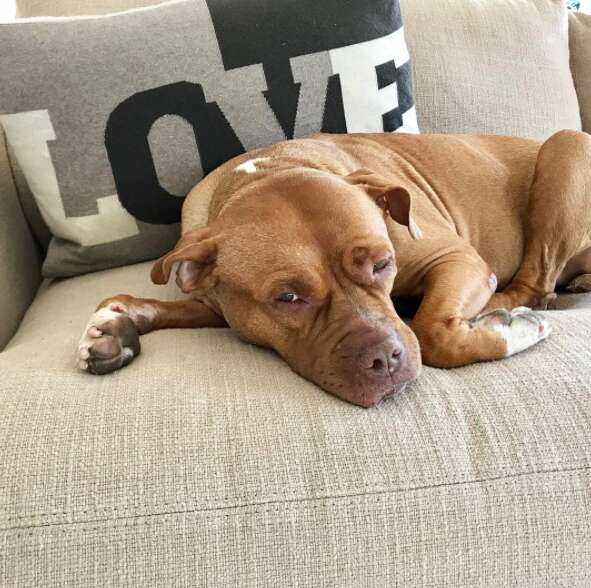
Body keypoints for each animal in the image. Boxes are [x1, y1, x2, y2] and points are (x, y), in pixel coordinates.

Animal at [77, 131, 591, 406]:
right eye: (287, 298)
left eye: (383, 264)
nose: (385, 359)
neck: (268, 170)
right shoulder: (217, 297)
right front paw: (111, 328)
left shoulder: (456, 259)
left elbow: (433, 333)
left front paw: (509, 333)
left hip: (567, 145)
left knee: (534, 284)